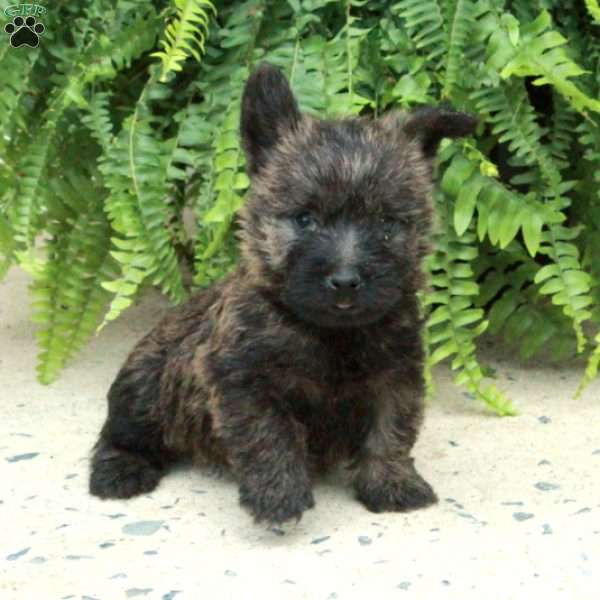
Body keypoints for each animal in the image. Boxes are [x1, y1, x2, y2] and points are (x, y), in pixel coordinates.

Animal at [89, 62, 476, 524]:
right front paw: (279, 495)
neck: (332, 335)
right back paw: (119, 471)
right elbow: (269, 435)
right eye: (305, 219)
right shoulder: (245, 380)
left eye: (386, 223)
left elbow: (391, 432)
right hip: (144, 386)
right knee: (120, 432)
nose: (345, 280)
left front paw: (392, 485)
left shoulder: (396, 375)